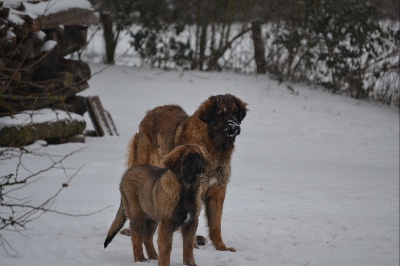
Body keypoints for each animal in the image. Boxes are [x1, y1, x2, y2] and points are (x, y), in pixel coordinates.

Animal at [126, 94, 248, 251]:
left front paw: (221, 247)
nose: (234, 127)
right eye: (222, 113)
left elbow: (216, 224)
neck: (215, 147)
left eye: (235, 112)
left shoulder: (218, 190)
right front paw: (193, 245)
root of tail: (150, 112)